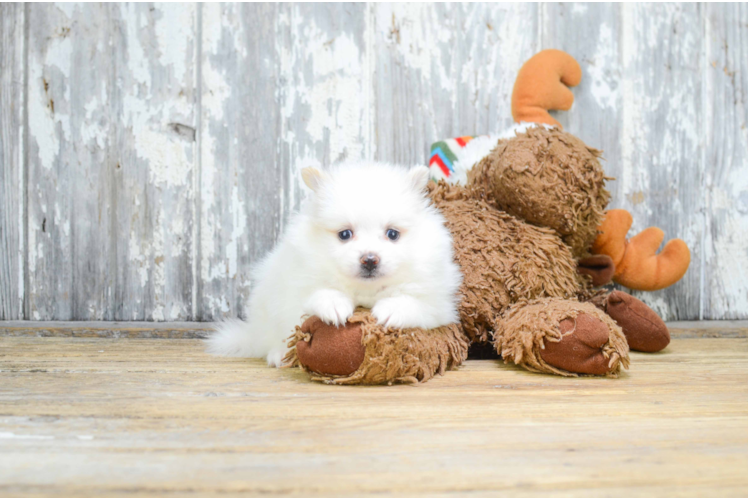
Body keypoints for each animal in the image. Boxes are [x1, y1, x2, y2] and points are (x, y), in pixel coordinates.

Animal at [205, 162, 462, 366]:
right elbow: (320, 293)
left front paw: (391, 310)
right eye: (345, 234)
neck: (365, 291)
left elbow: (414, 302)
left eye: (392, 234)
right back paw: (279, 356)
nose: (370, 259)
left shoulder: (438, 303)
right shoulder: (298, 282)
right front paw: (334, 306)